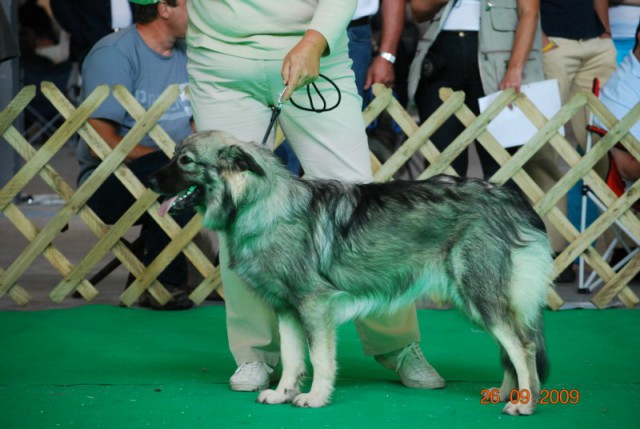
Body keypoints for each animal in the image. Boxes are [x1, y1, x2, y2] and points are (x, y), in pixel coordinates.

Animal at [150, 130, 556, 414]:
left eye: (185, 161)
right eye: (172, 157)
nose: (151, 182)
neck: (263, 205)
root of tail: (512, 199)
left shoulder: (314, 306)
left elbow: (320, 359)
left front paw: (314, 398)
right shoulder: (287, 310)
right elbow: (293, 359)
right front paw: (283, 393)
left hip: (479, 295)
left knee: (522, 346)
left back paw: (524, 402)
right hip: (476, 302)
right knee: (511, 348)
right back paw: (504, 394)